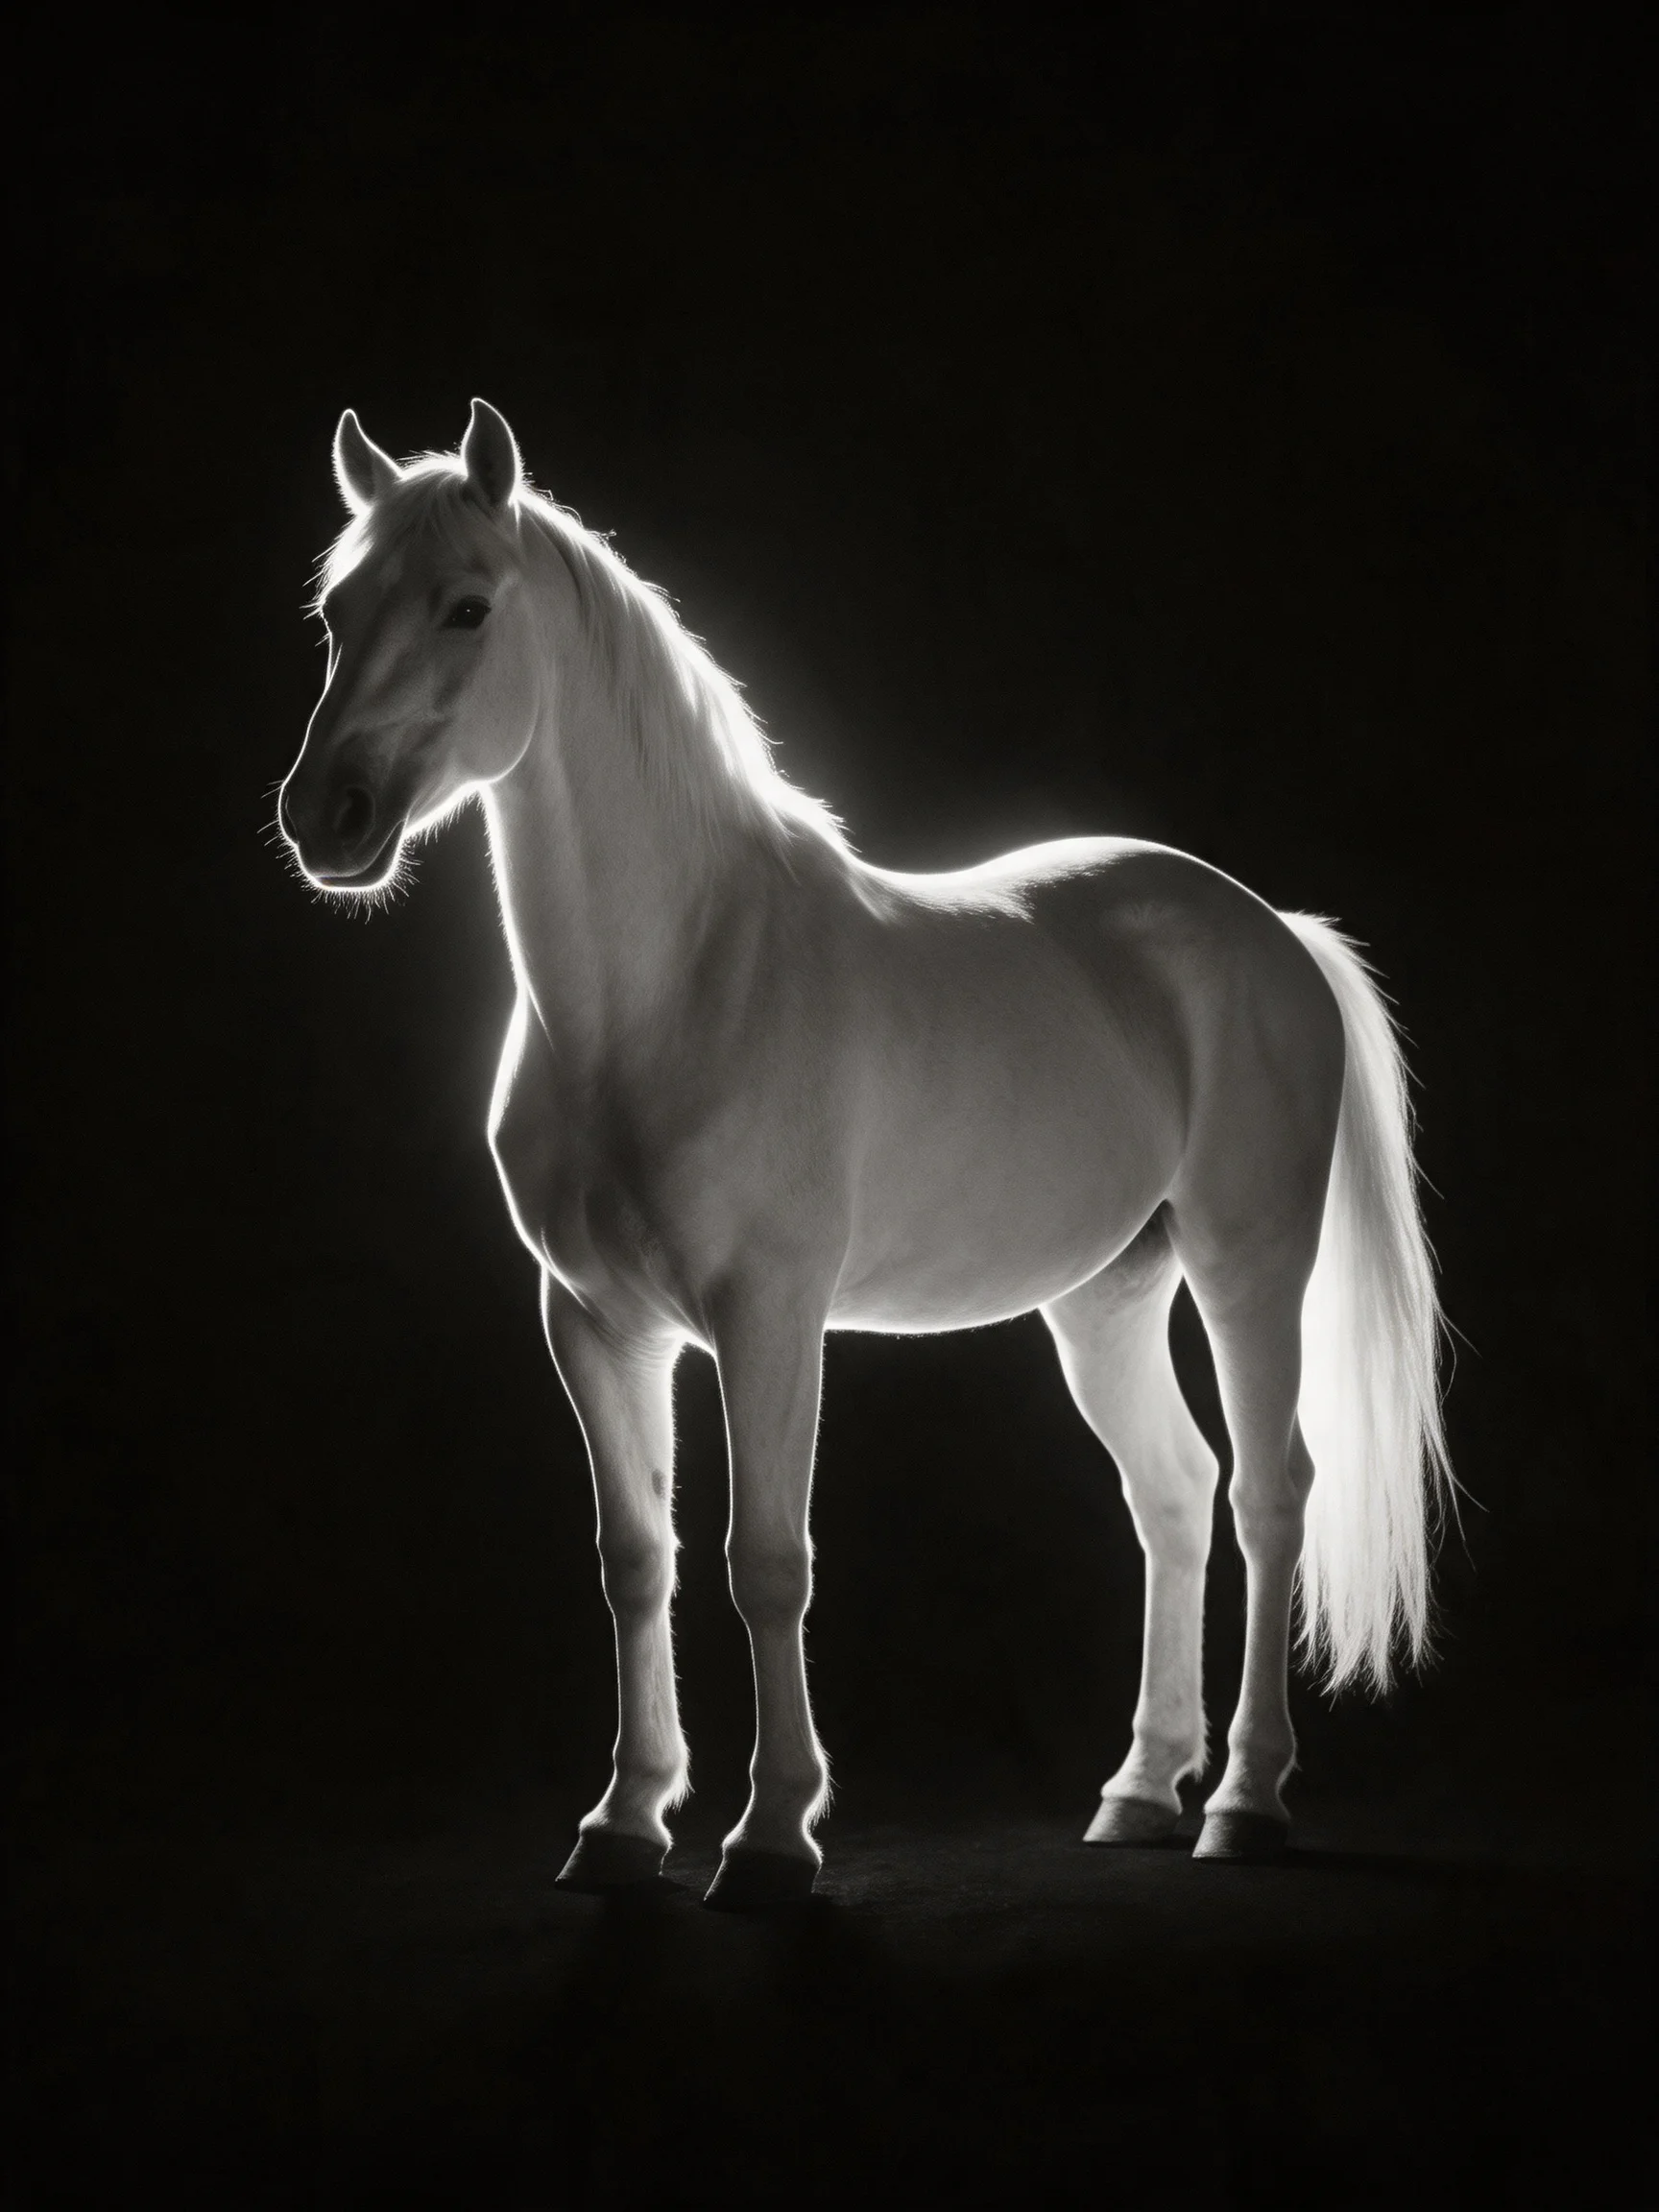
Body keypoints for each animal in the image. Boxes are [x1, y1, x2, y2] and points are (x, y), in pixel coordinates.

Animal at [278, 398, 1450, 1909]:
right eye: (337, 611)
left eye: (469, 607)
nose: (329, 818)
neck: (676, 982)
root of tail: (1273, 931)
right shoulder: (592, 1322)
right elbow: (636, 1560)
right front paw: (625, 1821)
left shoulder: (769, 1316)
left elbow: (768, 1562)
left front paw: (774, 1835)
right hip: (1105, 1299)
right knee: (1174, 1497)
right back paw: (1139, 1790)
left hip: (1250, 1270)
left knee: (1267, 1496)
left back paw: (1243, 1800)